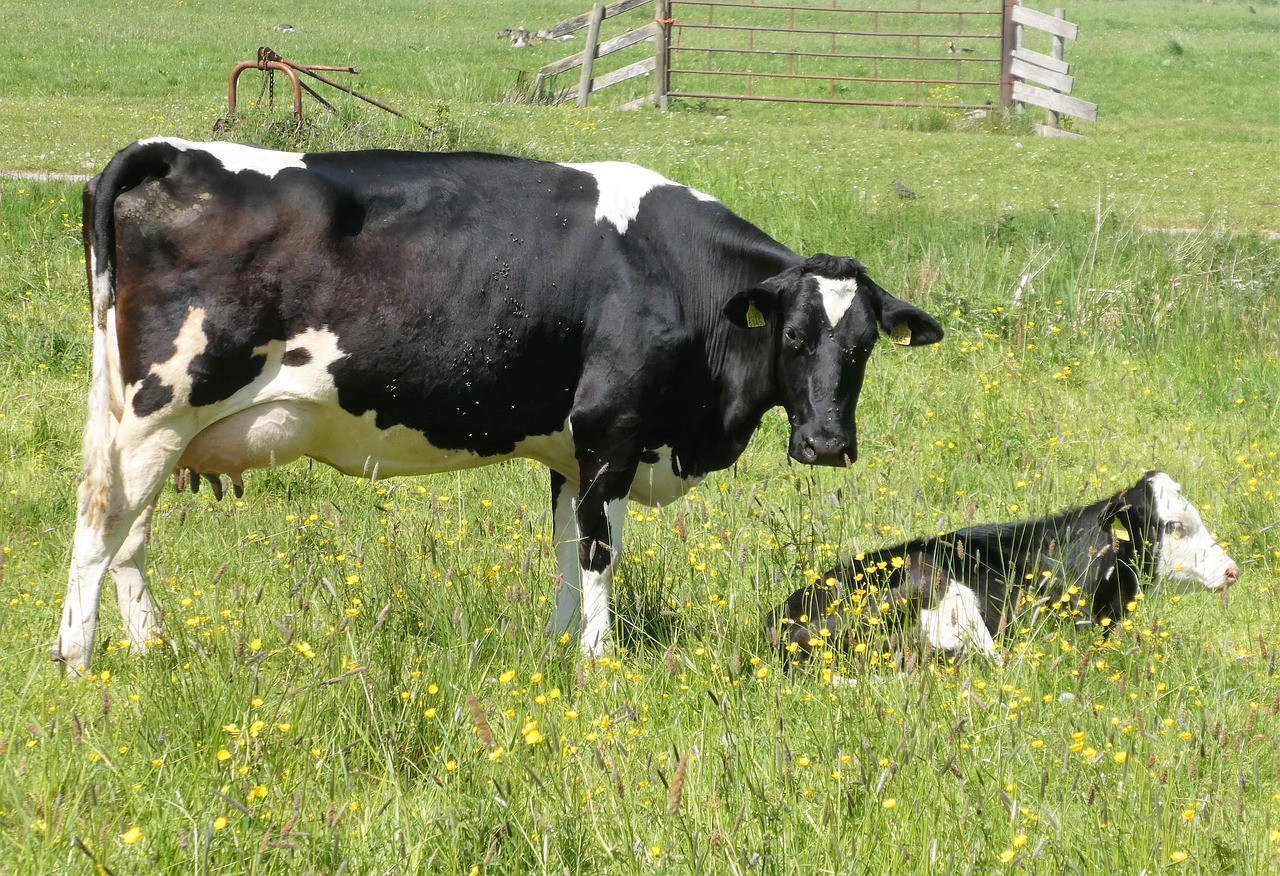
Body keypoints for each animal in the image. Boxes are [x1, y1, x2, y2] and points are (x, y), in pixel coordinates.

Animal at [54, 137, 945, 672]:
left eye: (863, 345)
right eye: (793, 335)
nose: (826, 442)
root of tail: (173, 153)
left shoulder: (572, 448)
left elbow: (564, 549)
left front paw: (558, 644)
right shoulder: (612, 429)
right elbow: (599, 552)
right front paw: (597, 660)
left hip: (154, 425)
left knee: (130, 537)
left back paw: (151, 648)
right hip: (160, 408)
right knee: (101, 522)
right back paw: (78, 660)